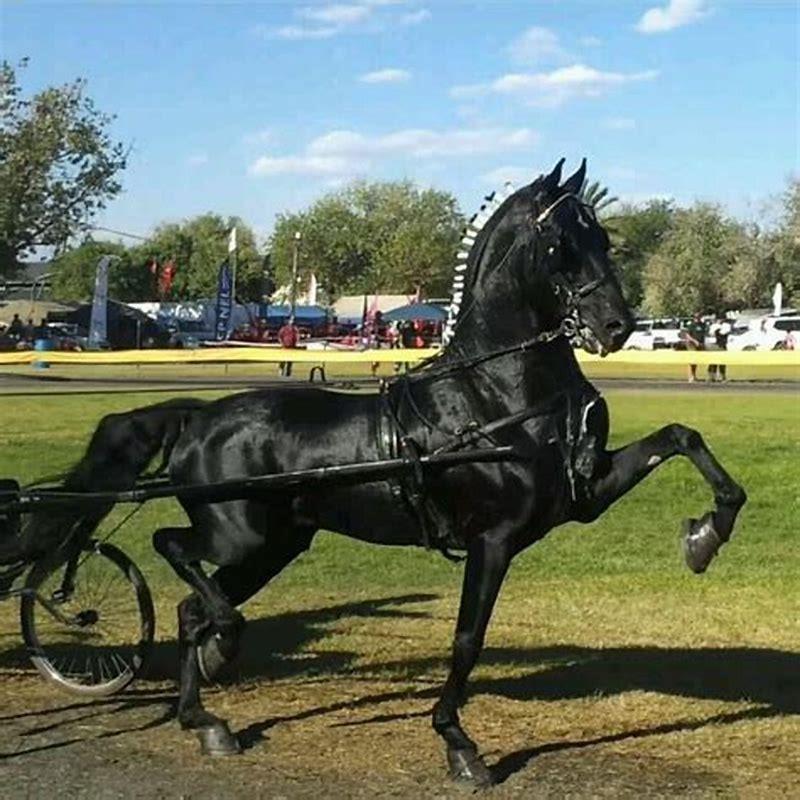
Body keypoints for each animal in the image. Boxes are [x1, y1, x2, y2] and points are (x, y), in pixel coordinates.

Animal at [18, 159, 746, 788]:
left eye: (603, 236)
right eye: (561, 243)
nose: (617, 325)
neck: (492, 394)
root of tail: (200, 415)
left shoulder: (582, 497)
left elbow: (681, 437)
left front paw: (706, 534)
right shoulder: (493, 540)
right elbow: (467, 639)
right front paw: (459, 745)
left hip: (275, 545)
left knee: (192, 605)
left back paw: (206, 718)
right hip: (239, 535)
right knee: (175, 553)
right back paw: (223, 648)